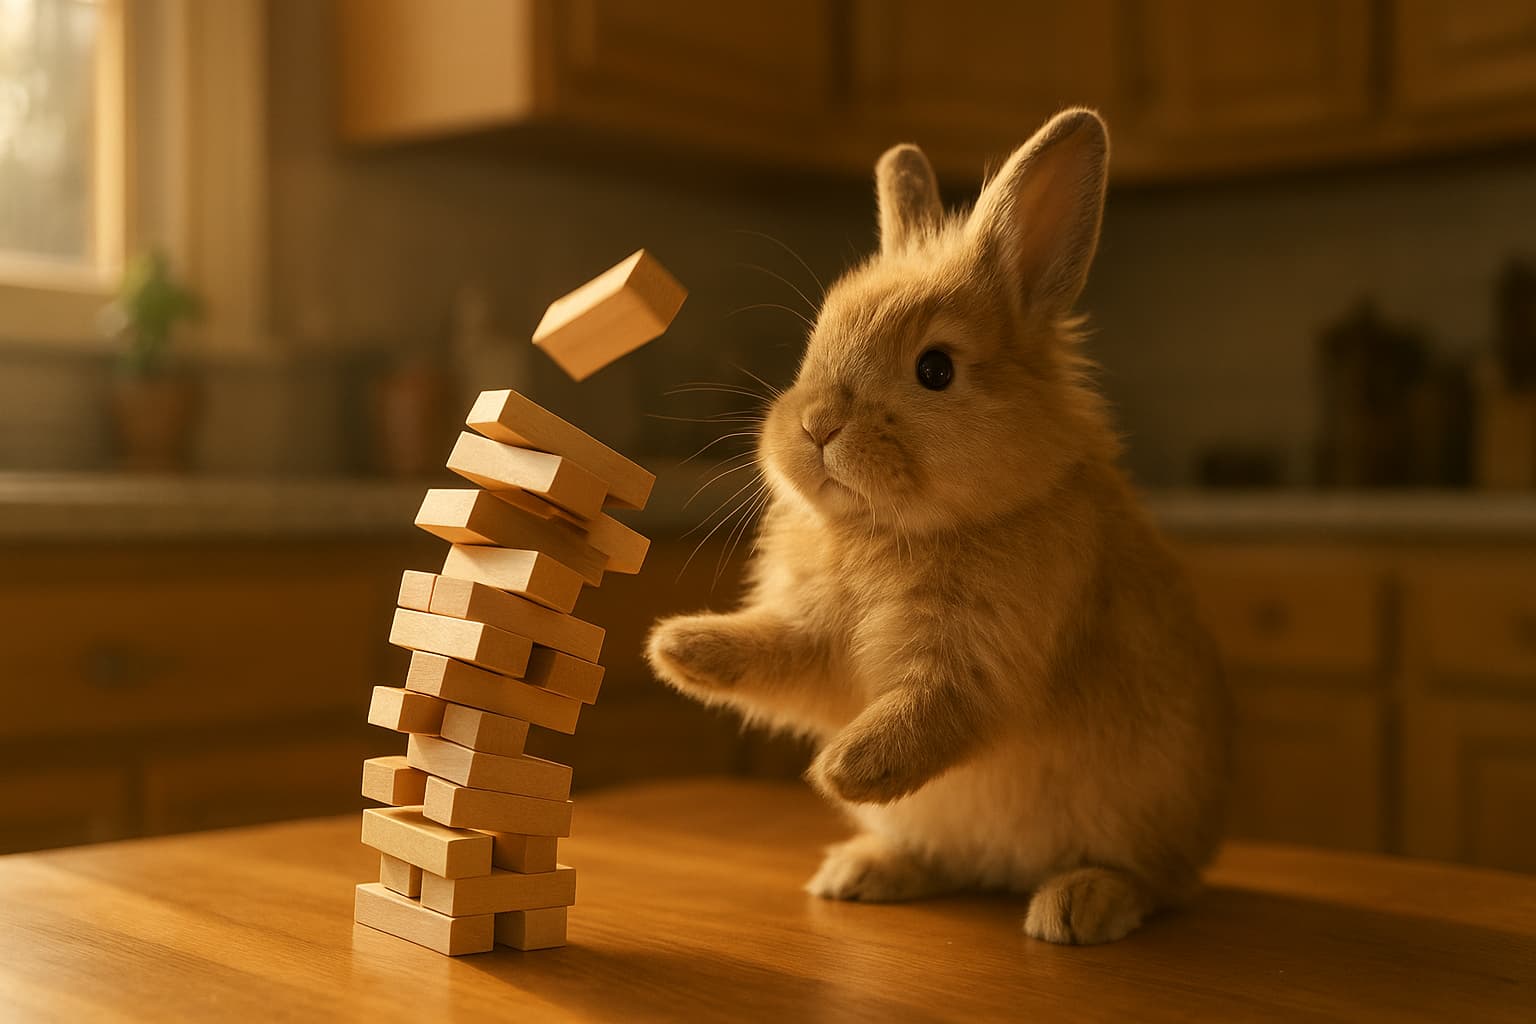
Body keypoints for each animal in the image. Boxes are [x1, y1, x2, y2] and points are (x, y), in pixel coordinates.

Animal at [646, 109, 1229, 945]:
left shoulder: (983, 660)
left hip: (1145, 812)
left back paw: (1077, 905)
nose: (816, 426)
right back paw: (861, 872)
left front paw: (844, 769)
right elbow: (777, 654)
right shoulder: (816, 646)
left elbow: (933, 713)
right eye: (815, 342)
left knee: (1157, 882)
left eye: (935, 370)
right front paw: (678, 649)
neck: (890, 531)